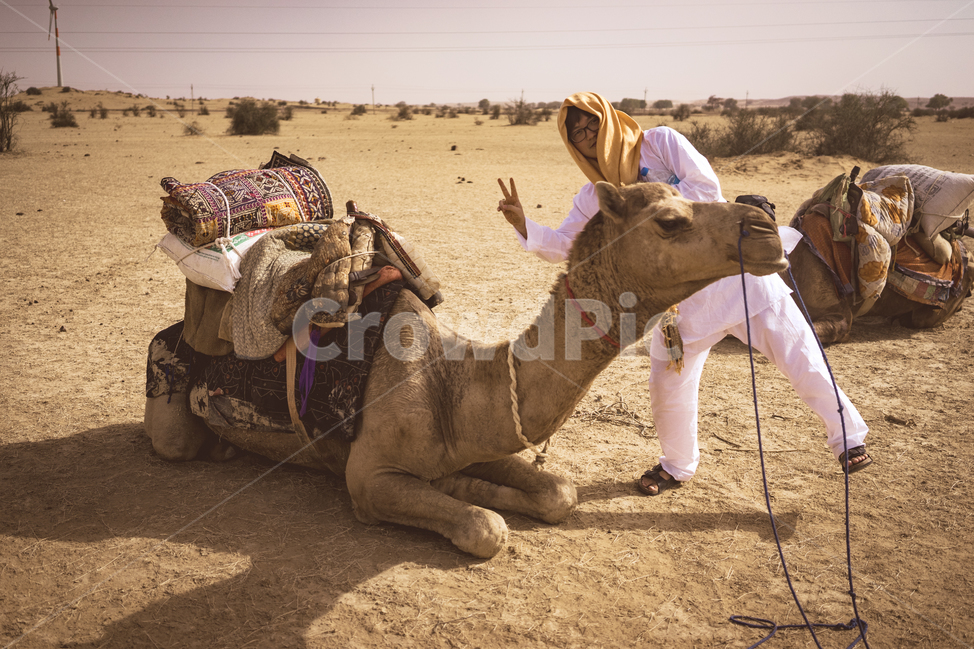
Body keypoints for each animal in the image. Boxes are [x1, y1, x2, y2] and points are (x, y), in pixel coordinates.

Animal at [145, 182, 787, 558]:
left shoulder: (478, 437)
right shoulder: (366, 477)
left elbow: (559, 492)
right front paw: (472, 501)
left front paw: (472, 486)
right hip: (167, 388)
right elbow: (486, 529)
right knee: (176, 440)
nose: (765, 223)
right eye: (670, 221)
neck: (451, 381)